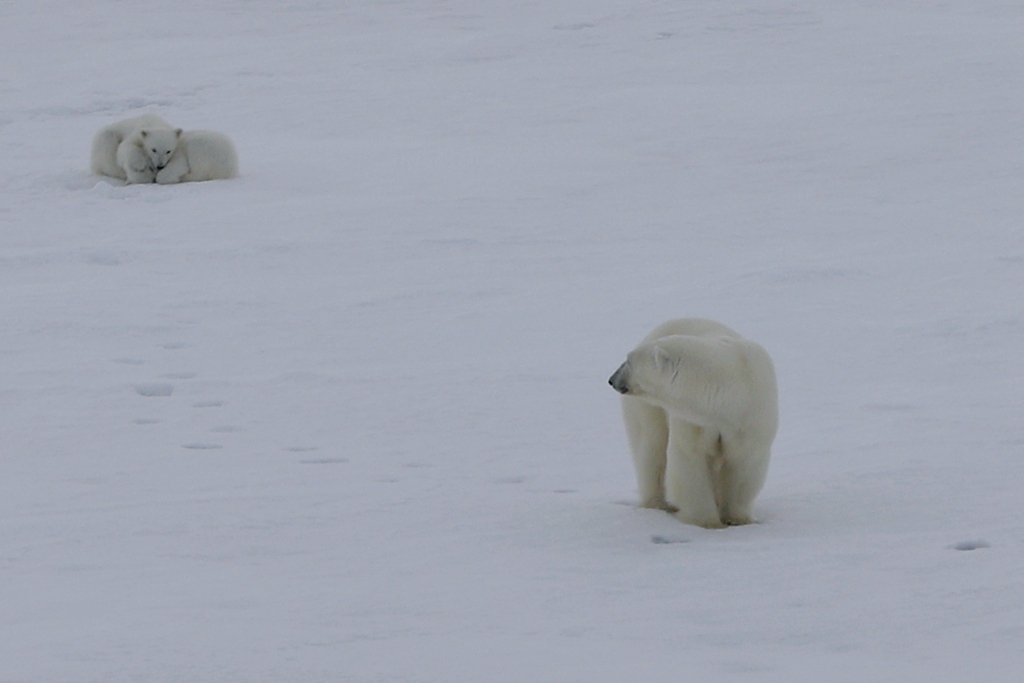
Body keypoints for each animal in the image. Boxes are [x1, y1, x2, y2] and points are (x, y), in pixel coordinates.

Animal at [606, 321, 774, 528]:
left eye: (628, 360)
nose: (612, 379)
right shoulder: (694, 420)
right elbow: (690, 460)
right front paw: (707, 521)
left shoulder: (749, 418)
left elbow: (743, 463)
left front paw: (737, 519)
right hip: (648, 410)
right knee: (653, 448)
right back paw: (658, 504)